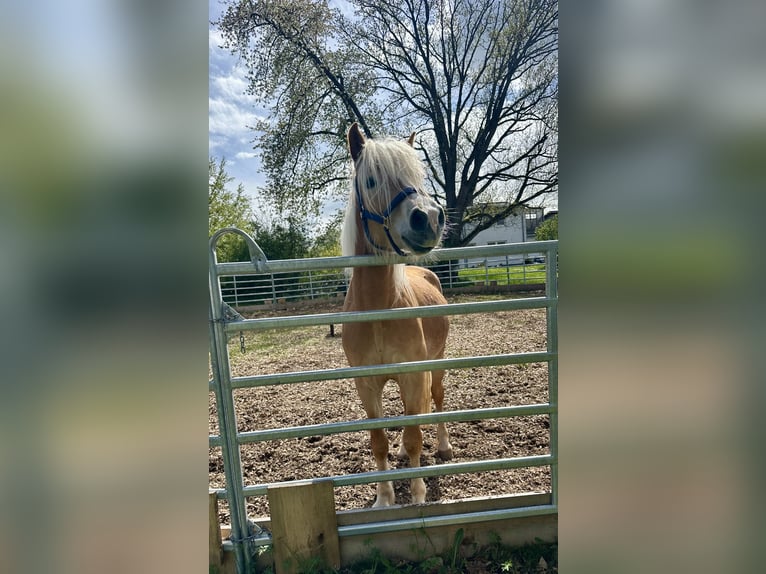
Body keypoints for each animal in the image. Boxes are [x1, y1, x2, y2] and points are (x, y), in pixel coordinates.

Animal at [341, 122, 452, 507]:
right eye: (372, 180)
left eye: (417, 176)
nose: (428, 218)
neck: (378, 308)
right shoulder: (367, 385)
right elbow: (380, 442)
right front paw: (384, 498)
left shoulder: (413, 375)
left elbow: (415, 436)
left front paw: (417, 495)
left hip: (436, 363)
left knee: (436, 401)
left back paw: (444, 447)